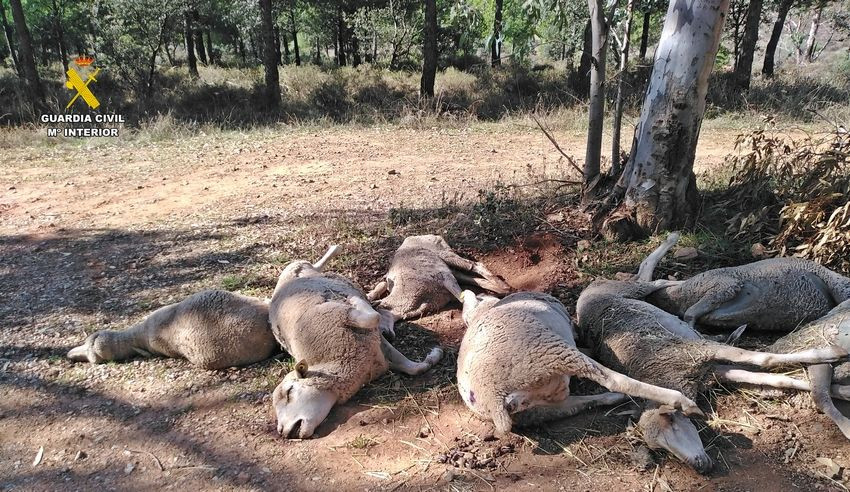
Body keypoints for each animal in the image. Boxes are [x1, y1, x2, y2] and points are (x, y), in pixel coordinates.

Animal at [270, 244, 444, 436]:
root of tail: (278, 288)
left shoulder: (349, 320)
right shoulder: (377, 353)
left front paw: (355, 299)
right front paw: (433, 356)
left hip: (296, 267)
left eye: (289, 392)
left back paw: (341, 257)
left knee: (314, 264)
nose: (282, 432)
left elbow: (373, 317)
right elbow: (415, 369)